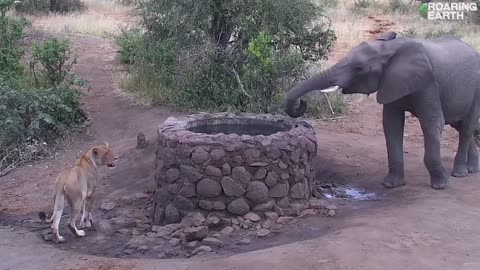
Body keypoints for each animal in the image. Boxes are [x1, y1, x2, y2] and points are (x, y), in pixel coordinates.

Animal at [284, 31, 480, 190]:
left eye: (359, 68)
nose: (302, 102)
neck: (390, 48)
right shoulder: (391, 81)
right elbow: (391, 124)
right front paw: (391, 184)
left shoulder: (428, 84)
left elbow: (431, 124)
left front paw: (440, 185)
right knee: (461, 127)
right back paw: (471, 170)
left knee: (467, 127)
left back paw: (459, 173)